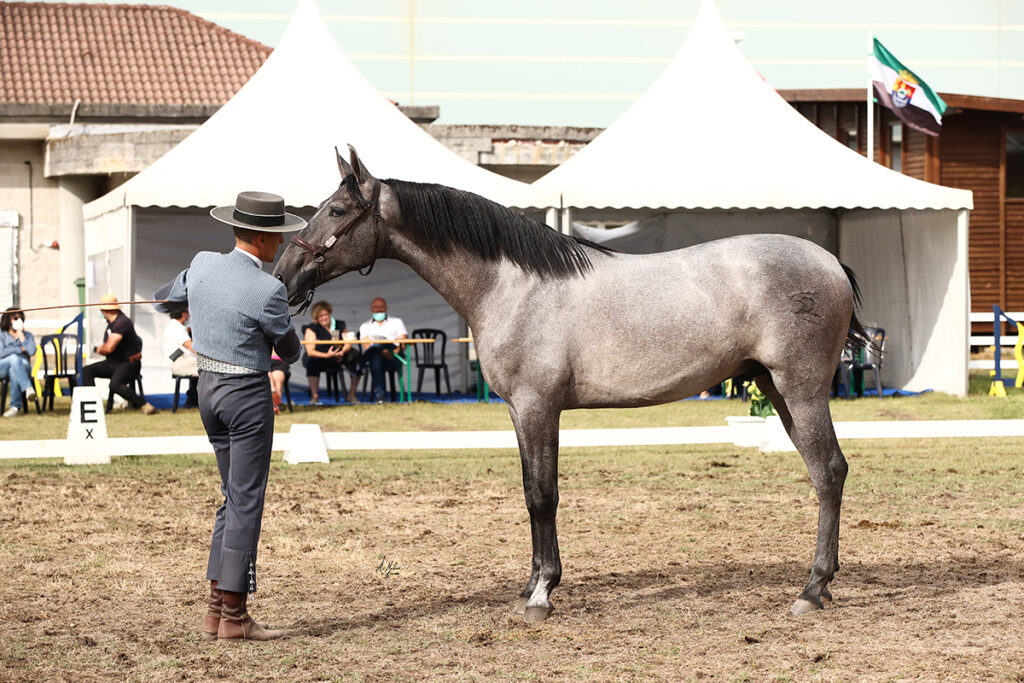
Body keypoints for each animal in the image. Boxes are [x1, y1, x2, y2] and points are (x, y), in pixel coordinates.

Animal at [272, 147, 864, 622]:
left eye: (337, 210)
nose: (284, 274)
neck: (511, 284)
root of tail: (831, 261)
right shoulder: (519, 410)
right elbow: (530, 492)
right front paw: (532, 584)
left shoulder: (539, 407)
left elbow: (543, 495)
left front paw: (542, 596)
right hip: (778, 390)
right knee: (823, 473)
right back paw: (821, 584)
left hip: (801, 389)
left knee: (831, 471)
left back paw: (812, 590)